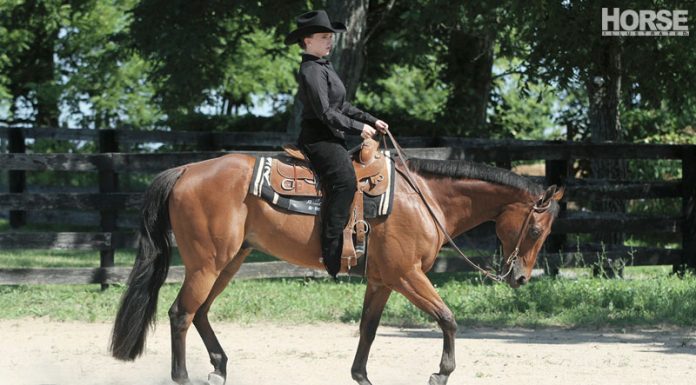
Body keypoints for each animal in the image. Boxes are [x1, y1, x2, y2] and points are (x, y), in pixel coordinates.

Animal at [110, 148, 564, 384]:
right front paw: (441, 373)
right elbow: (448, 319)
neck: (424, 198)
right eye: (535, 229)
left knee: (200, 312)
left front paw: (362, 376)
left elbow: (368, 330)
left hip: (230, 261)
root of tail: (186, 169)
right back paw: (186, 376)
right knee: (180, 313)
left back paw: (220, 368)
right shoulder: (406, 275)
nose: (520, 278)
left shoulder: (382, 280)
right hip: (207, 263)